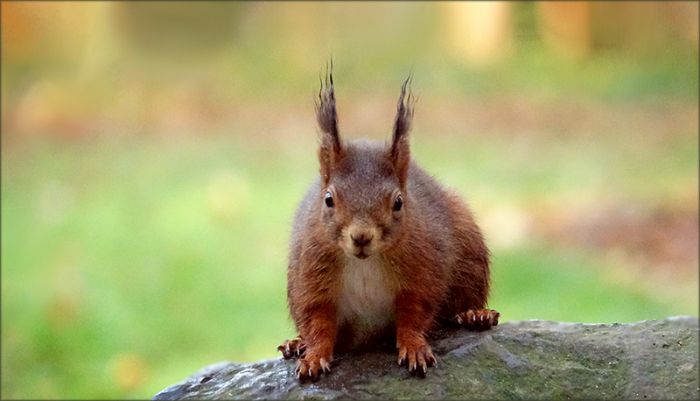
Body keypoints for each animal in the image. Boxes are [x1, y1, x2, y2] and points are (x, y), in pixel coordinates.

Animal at [278, 68, 499, 381]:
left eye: (398, 203)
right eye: (329, 199)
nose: (361, 237)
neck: (364, 262)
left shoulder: (421, 267)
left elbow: (414, 314)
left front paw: (414, 347)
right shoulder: (311, 271)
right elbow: (316, 320)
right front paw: (313, 357)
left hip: (469, 249)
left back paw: (475, 315)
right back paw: (295, 344)